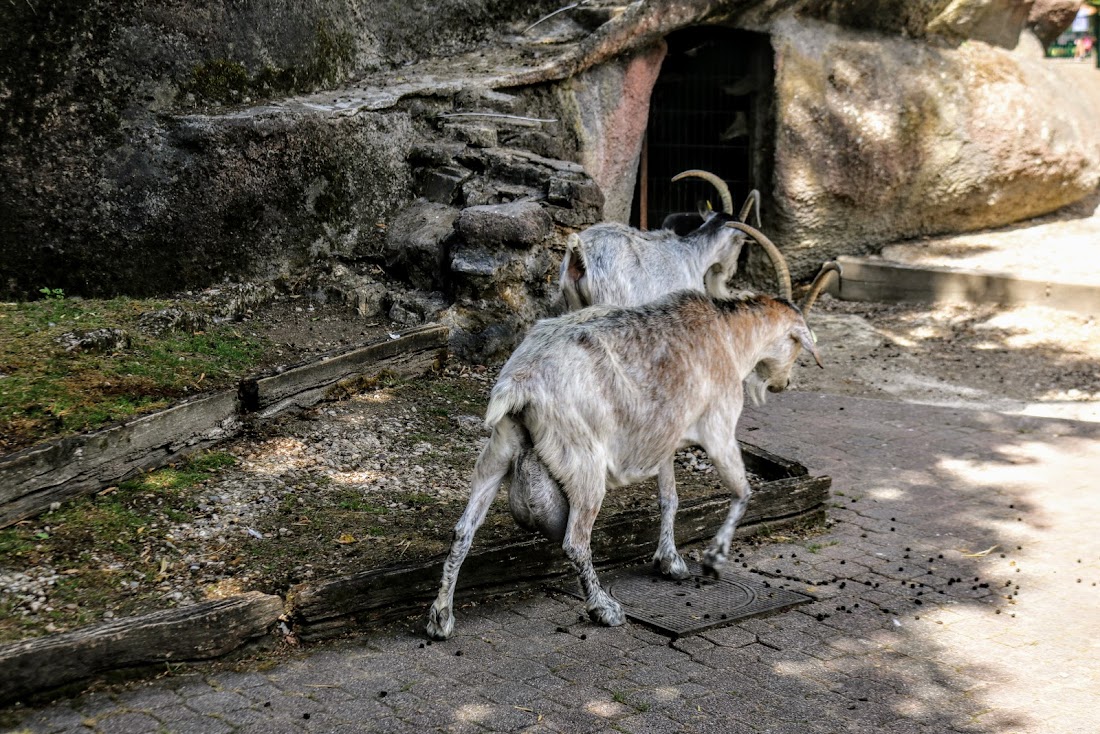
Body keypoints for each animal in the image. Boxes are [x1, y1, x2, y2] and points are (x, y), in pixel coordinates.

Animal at [426, 290, 827, 638]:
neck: (727, 335)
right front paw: (712, 559)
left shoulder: (665, 438)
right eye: (796, 345)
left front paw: (670, 562)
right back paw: (604, 609)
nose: (783, 383)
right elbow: (743, 491)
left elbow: (669, 498)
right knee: (575, 542)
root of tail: (520, 382)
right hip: (584, 466)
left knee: (463, 531)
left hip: (498, 451)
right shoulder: (718, 429)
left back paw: (441, 619)